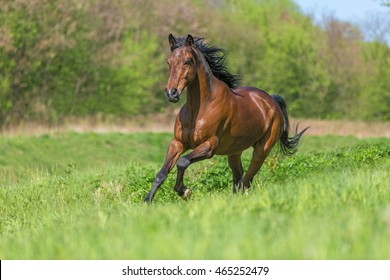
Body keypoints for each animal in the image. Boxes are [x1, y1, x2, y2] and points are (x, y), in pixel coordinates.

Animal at [143, 34, 308, 202]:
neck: (199, 109)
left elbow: (182, 162)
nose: (171, 93)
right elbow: (162, 173)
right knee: (239, 177)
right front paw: (147, 201)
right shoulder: (177, 143)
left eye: (187, 61)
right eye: (169, 62)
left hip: (262, 150)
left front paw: (185, 191)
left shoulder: (209, 146)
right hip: (234, 152)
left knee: (246, 180)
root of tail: (272, 101)